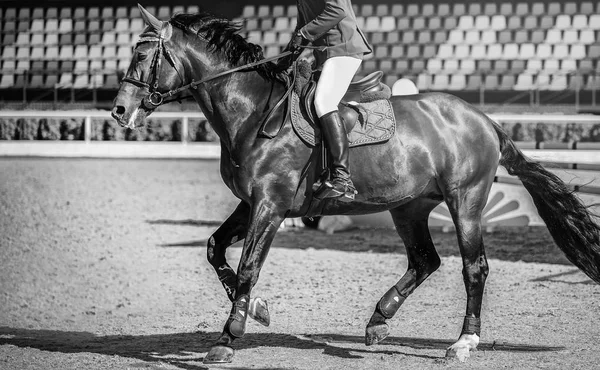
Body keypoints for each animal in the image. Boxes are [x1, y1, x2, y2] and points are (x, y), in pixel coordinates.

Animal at [113, 5, 600, 364]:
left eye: (143, 56)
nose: (119, 111)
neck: (253, 112)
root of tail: (483, 118)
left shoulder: (270, 204)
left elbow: (249, 265)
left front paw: (228, 336)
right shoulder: (251, 203)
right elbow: (215, 249)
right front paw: (255, 308)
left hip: (465, 200)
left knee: (473, 267)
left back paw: (463, 342)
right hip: (409, 206)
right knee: (425, 261)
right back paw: (378, 321)